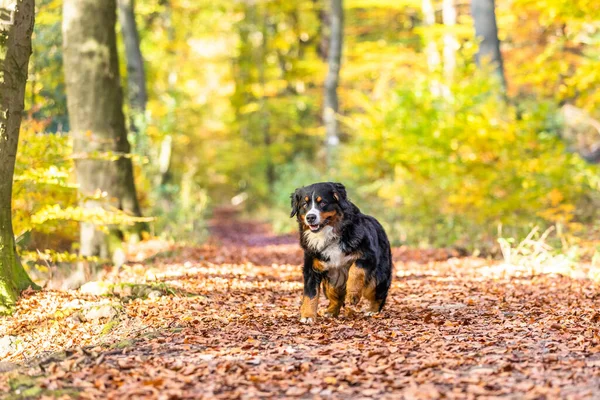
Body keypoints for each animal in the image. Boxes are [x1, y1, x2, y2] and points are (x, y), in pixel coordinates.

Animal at [290, 181, 394, 322]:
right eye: (304, 204)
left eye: (322, 203)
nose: (310, 217)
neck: (328, 234)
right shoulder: (312, 266)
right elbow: (310, 294)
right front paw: (307, 316)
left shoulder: (368, 255)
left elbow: (356, 271)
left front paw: (352, 295)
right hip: (330, 283)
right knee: (336, 299)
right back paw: (330, 311)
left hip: (376, 279)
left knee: (379, 295)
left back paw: (372, 310)